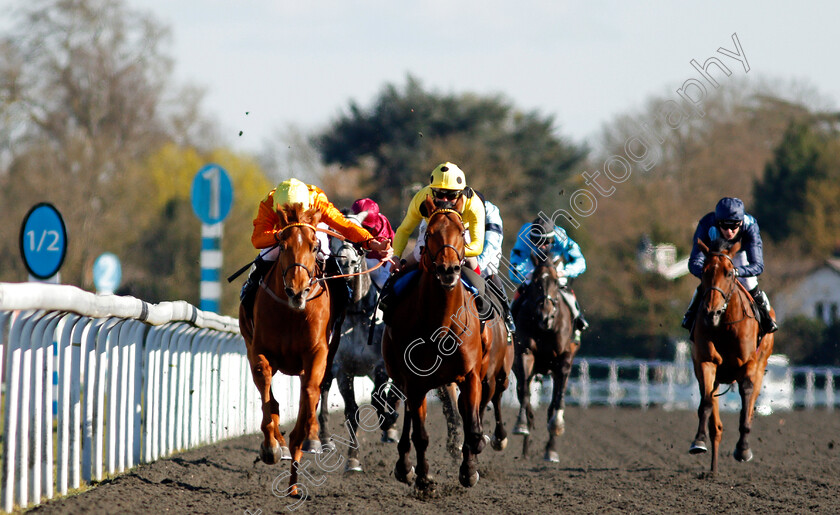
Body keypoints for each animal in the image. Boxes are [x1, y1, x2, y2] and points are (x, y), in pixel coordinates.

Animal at [238, 204, 336, 498]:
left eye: (315, 246)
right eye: (282, 245)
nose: (297, 291)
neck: (292, 313)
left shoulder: (317, 354)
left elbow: (310, 395)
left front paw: (300, 445)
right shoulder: (260, 350)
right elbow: (268, 397)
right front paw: (272, 446)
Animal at [318, 212, 404, 474]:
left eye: (357, 239)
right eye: (333, 240)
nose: (346, 263)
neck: (357, 313)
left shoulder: (380, 366)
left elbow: (378, 397)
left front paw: (389, 421)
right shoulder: (343, 370)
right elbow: (351, 411)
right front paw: (353, 460)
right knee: (322, 394)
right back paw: (321, 441)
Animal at [384, 197, 496, 492]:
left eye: (462, 230)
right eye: (431, 232)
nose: (448, 269)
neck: (442, 324)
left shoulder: (470, 376)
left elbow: (472, 427)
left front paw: (469, 469)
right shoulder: (414, 381)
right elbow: (420, 434)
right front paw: (424, 479)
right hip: (402, 377)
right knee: (410, 419)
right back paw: (405, 467)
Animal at [508, 252, 580, 462]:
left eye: (556, 281)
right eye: (535, 281)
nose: (545, 316)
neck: (546, 330)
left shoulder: (564, 360)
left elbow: (558, 401)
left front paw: (556, 429)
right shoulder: (525, 354)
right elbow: (525, 394)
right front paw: (521, 424)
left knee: (551, 405)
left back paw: (550, 449)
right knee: (524, 396)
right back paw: (525, 446)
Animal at [688, 238, 776, 476]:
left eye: (729, 273)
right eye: (704, 271)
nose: (711, 312)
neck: (725, 325)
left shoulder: (748, 366)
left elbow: (746, 404)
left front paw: (743, 449)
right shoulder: (707, 363)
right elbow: (706, 404)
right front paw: (699, 441)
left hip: (760, 367)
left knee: (751, 404)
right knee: (714, 420)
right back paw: (713, 468)